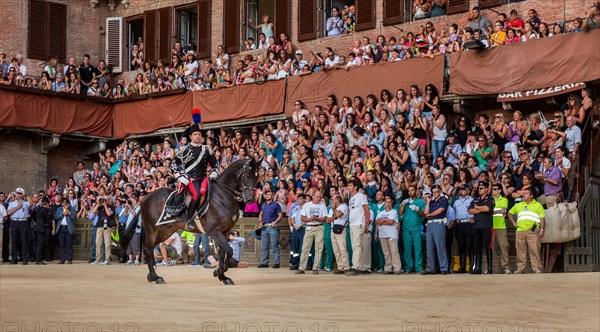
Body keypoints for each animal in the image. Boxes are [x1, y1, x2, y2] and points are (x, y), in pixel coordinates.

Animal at [119, 158, 258, 286]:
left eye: (257, 177)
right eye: (247, 175)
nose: (250, 199)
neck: (223, 197)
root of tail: (145, 199)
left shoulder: (226, 231)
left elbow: (224, 252)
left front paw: (222, 275)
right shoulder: (214, 231)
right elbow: (228, 251)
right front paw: (219, 272)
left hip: (165, 231)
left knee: (152, 248)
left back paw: (152, 275)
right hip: (151, 229)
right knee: (148, 249)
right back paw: (155, 277)